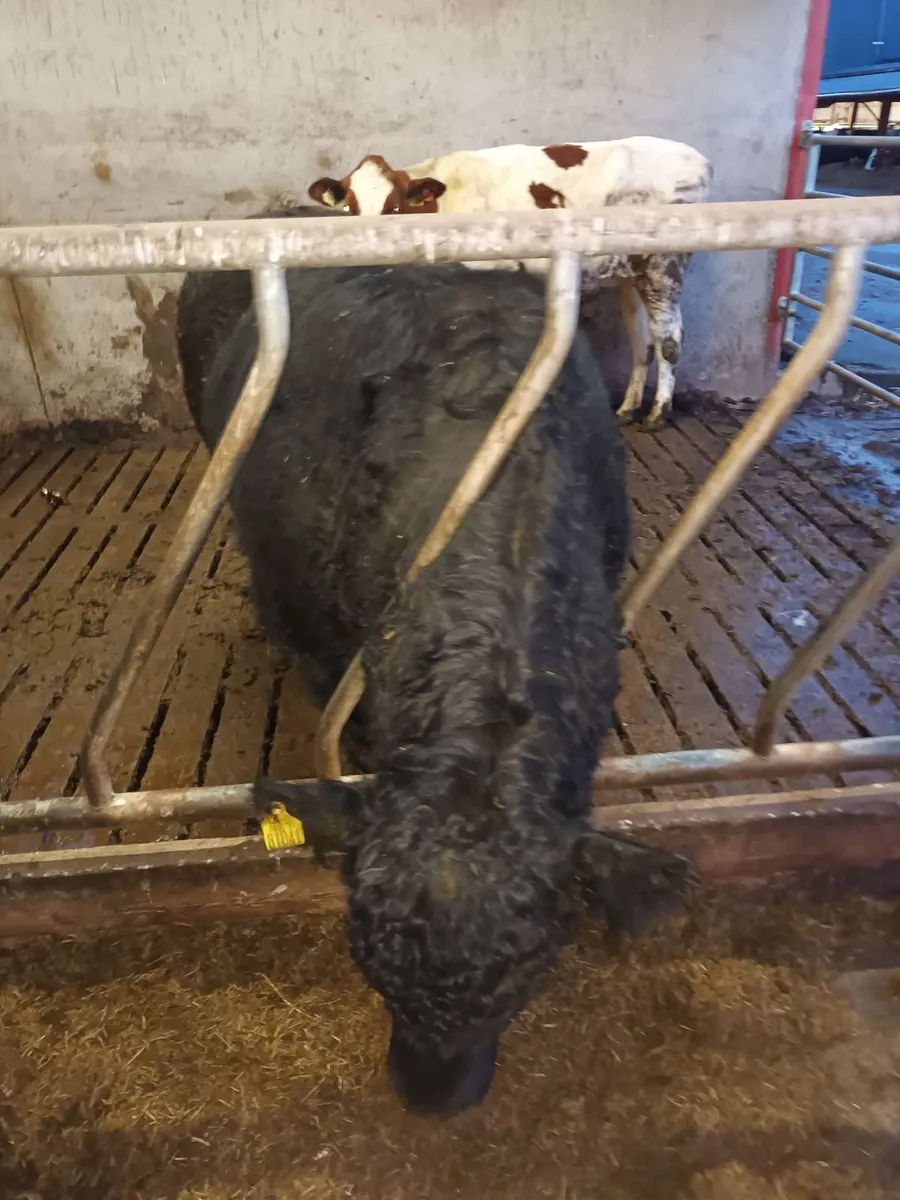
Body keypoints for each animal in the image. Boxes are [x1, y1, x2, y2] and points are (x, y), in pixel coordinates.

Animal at [308, 137, 712, 430]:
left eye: (393, 208)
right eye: (350, 209)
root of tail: (697, 159)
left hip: (664, 266)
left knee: (669, 340)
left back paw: (658, 414)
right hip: (630, 275)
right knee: (642, 341)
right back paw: (628, 409)